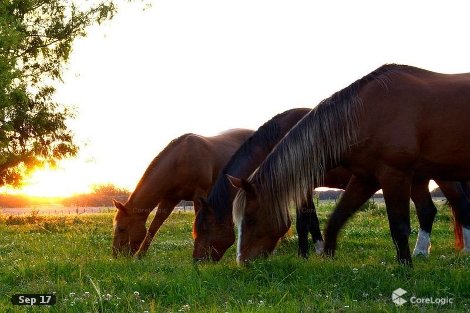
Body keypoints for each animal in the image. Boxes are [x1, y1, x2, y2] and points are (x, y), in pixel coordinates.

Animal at [111, 128, 253, 258]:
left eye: (121, 228)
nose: (116, 255)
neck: (180, 161)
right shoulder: (170, 199)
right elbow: (154, 226)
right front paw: (141, 255)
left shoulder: (200, 194)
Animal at [229, 64, 470, 264]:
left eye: (250, 219)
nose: (242, 262)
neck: (366, 114)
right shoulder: (366, 178)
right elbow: (335, 219)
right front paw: (326, 257)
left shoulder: (394, 175)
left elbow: (399, 227)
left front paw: (405, 269)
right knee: (429, 210)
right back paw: (422, 252)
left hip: (442, 177)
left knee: (460, 206)